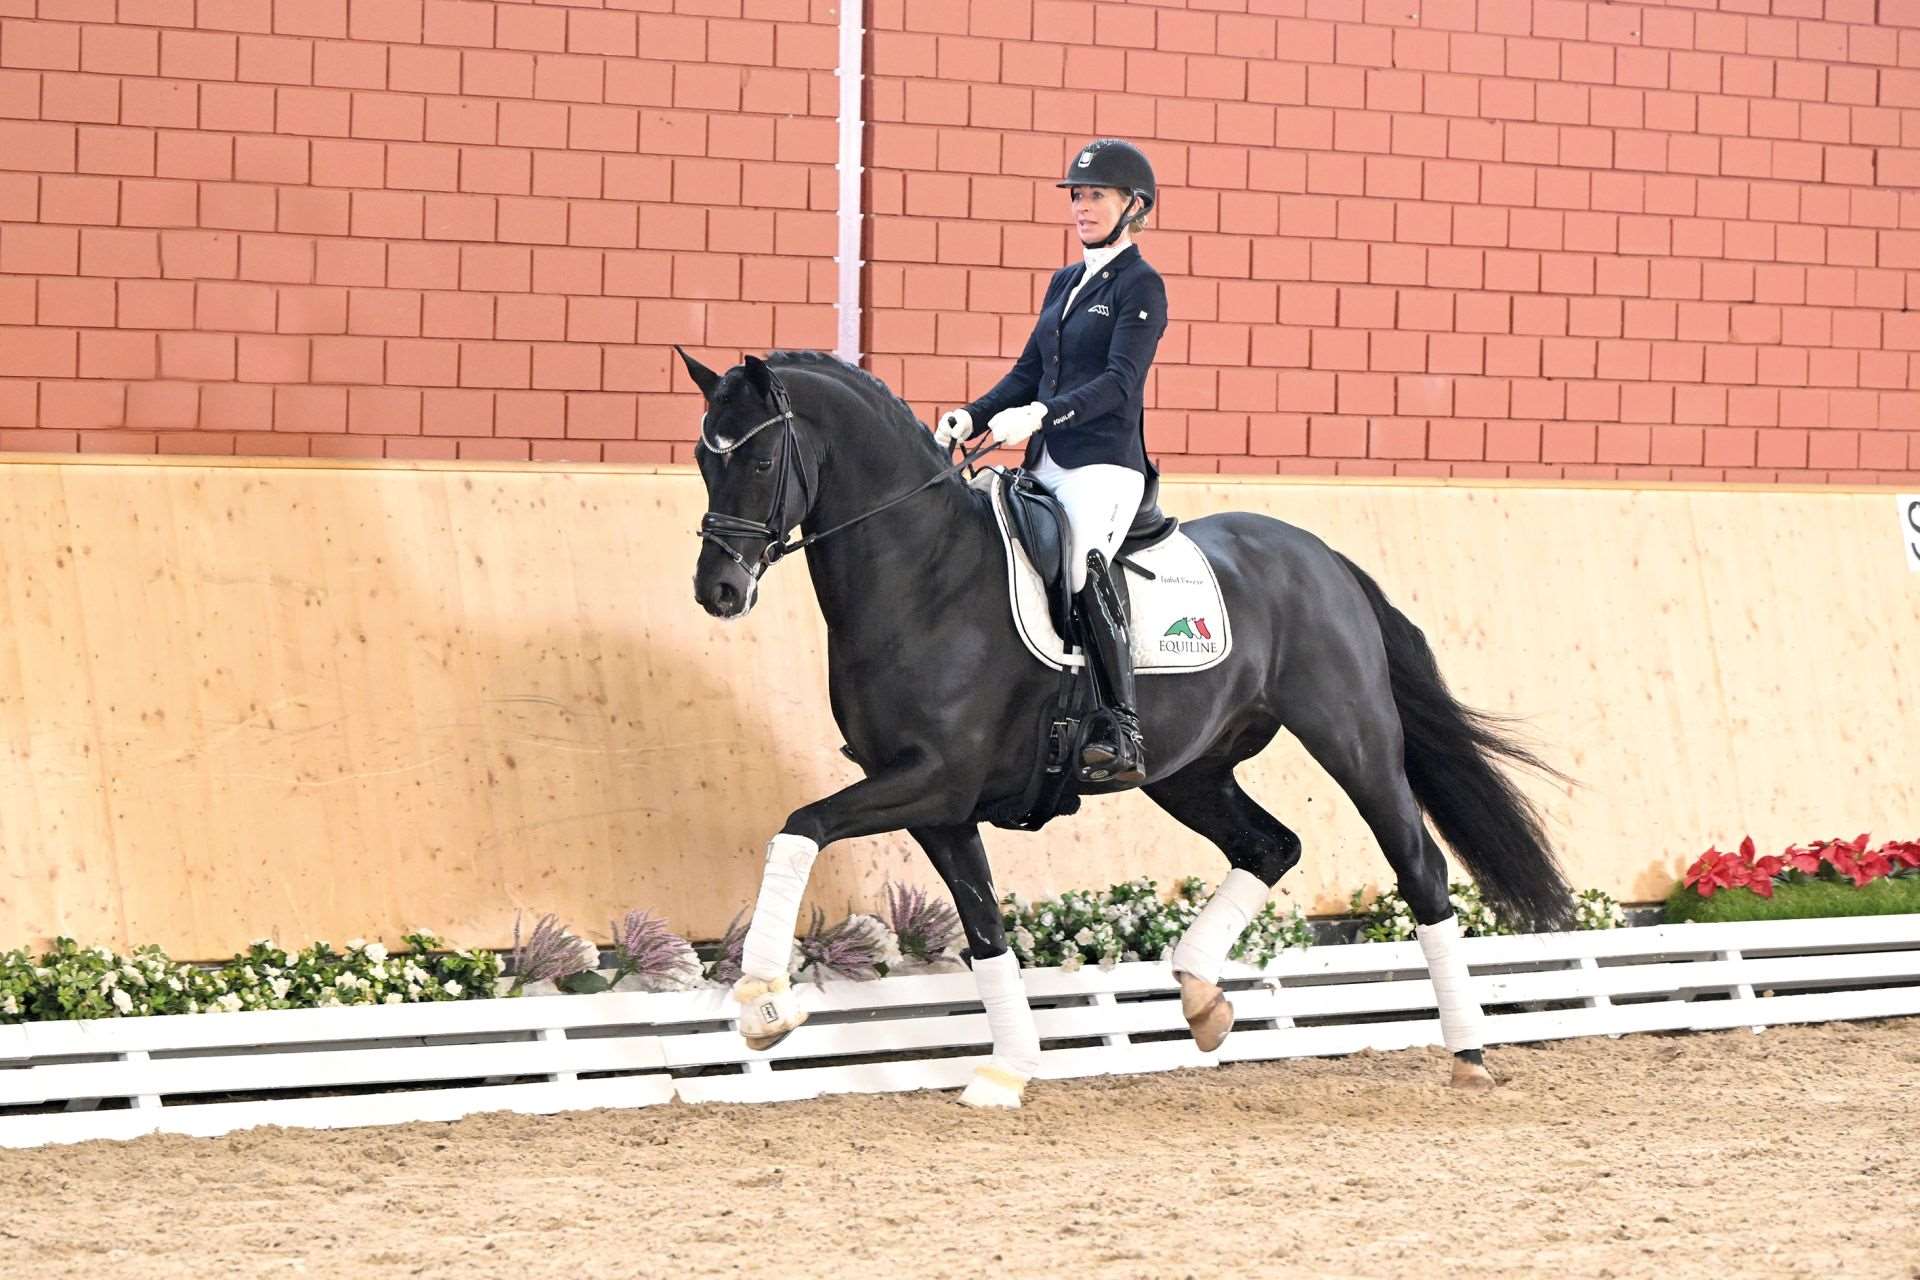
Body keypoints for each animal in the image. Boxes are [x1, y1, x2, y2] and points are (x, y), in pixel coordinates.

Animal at [679, 347, 1574, 1108]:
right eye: (702, 460)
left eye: (759, 461)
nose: (718, 590)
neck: (923, 576)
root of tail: (1321, 557)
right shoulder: (936, 803)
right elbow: (984, 928)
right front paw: (1006, 1071)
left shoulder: (934, 779)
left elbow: (801, 827)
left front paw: (763, 1005)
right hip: (1190, 771)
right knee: (1272, 846)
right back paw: (1203, 999)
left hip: (1352, 740)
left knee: (1418, 866)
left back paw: (1468, 1055)